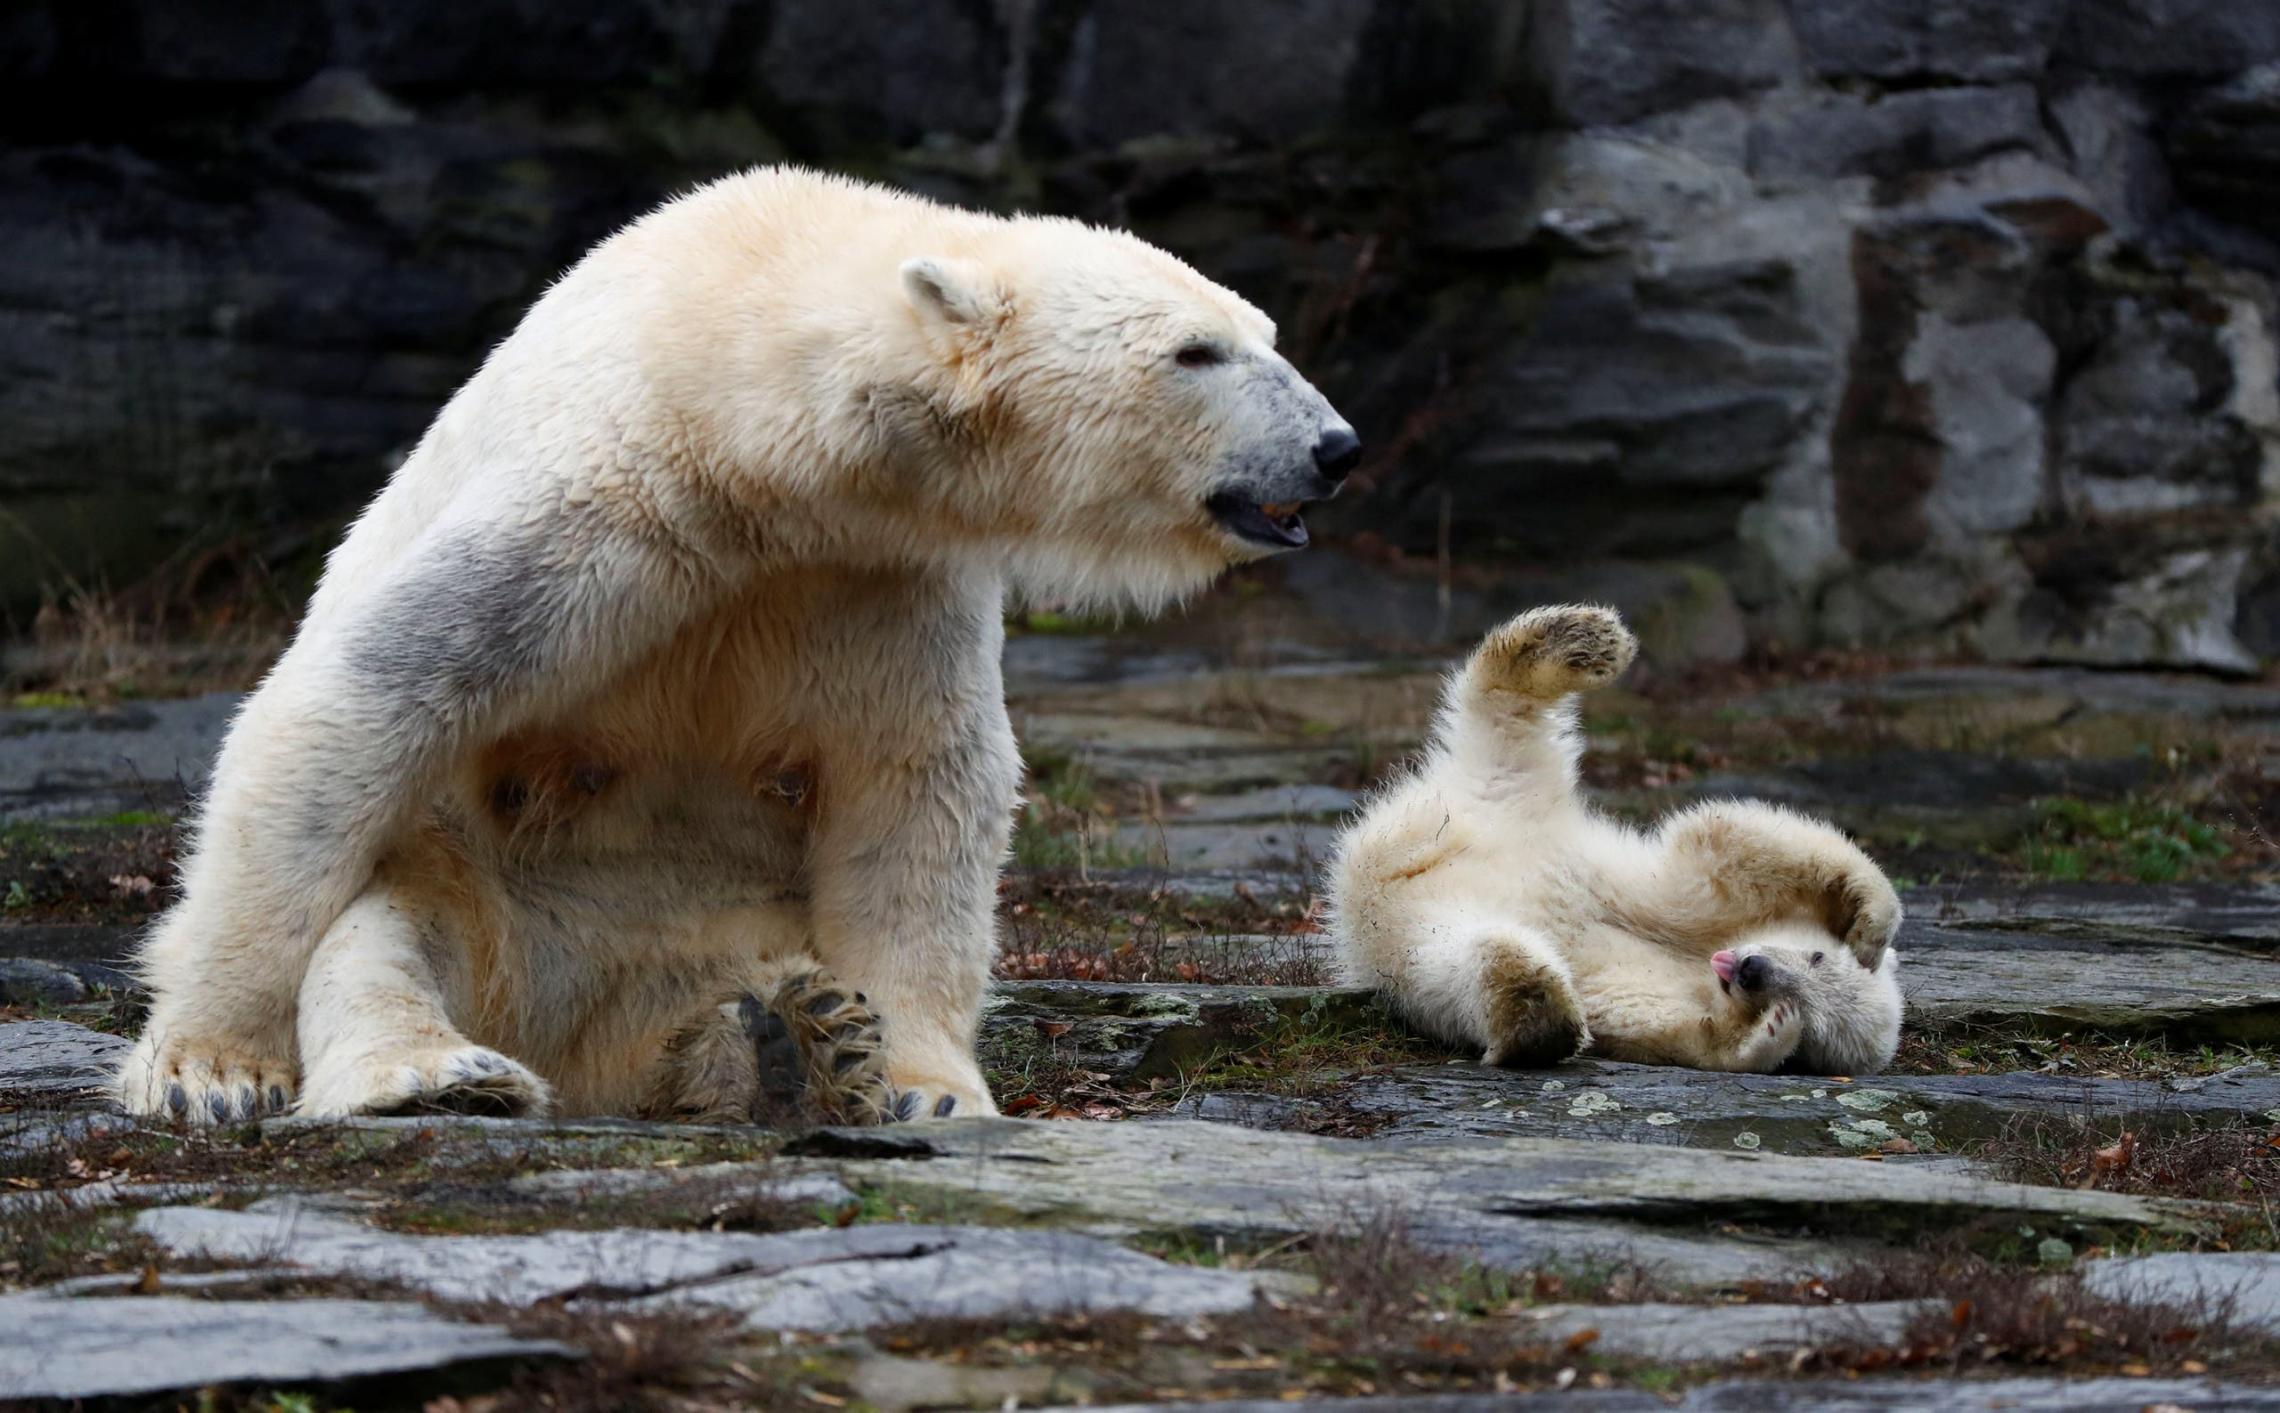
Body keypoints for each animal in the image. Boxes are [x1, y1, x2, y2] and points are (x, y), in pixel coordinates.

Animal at [120, 168, 1349, 1125]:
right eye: (1197, 351)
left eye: (1266, 336)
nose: (1337, 446)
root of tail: (579, 1030)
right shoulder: (596, 502)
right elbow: (367, 697)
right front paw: (208, 1068)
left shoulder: (874, 572)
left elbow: (917, 783)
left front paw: (925, 1084)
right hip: (486, 890)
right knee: (388, 938)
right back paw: (443, 1074)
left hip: (730, 923)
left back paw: (785, 1045)